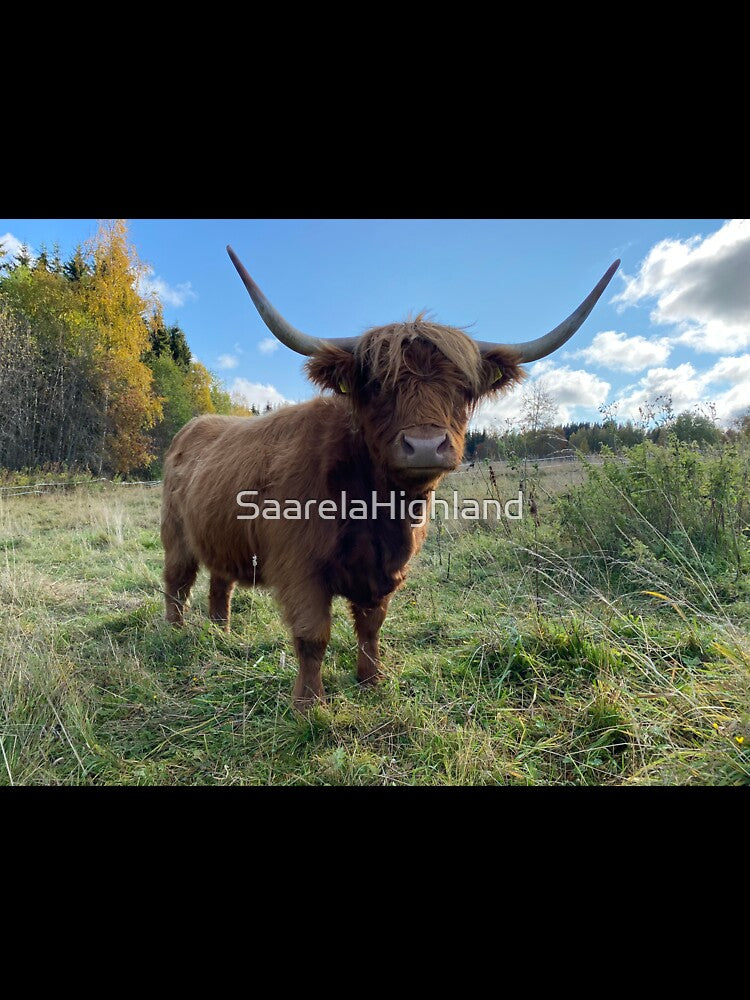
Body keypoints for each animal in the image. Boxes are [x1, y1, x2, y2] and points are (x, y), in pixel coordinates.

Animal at [161, 247, 619, 709]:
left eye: (463, 389)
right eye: (379, 385)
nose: (425, 445)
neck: (379, 509)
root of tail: (192, 427)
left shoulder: (386, 570)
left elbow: (371, 626)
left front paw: (371, 680)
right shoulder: (300, 567)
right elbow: (312, 637)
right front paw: (309, 704)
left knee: (220, 585)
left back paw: (221, 634)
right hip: (175, 534)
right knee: (177, 583)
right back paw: (175, 634)